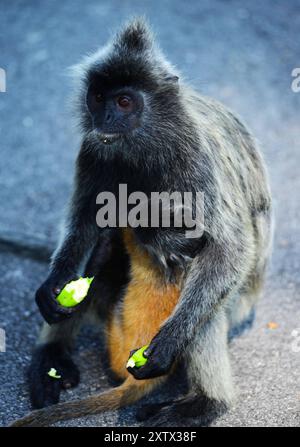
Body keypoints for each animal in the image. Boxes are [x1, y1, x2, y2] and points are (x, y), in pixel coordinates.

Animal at [11, 19, 272, 428]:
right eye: (98, 98)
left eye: (124, 102)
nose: (105, 119)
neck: (141, 143)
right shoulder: (93, 147)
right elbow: (84, 219)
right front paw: (54, 287)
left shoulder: (195, 154)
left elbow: (230, 249)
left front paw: (167, 346)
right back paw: (51, 356)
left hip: (238, 304)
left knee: (209, 296)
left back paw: (206, 402)